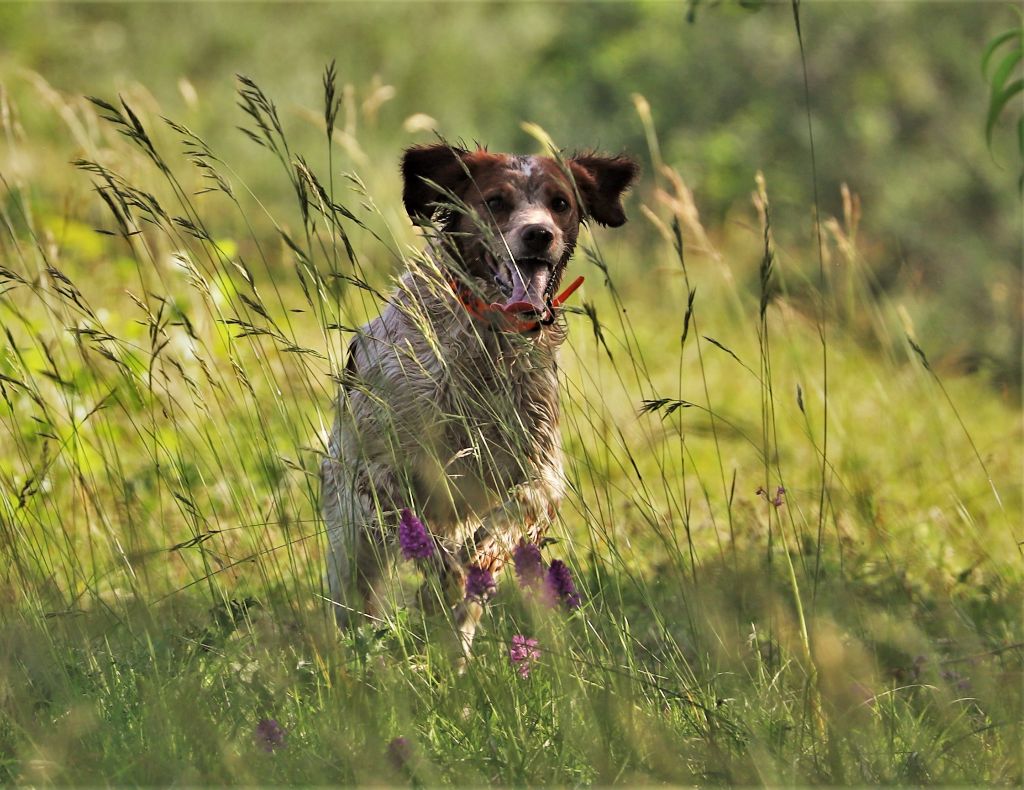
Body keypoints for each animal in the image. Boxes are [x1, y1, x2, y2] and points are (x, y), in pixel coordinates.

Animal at [321, 142, 638, 655]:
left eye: (560, 203)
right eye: (495, 201)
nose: (538, 234)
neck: (487, 339)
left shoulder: (540, 477)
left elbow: (497, 536)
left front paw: (472, 570)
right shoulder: (379, 472)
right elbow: (428, 545)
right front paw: (441, 582)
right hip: (352, 545)